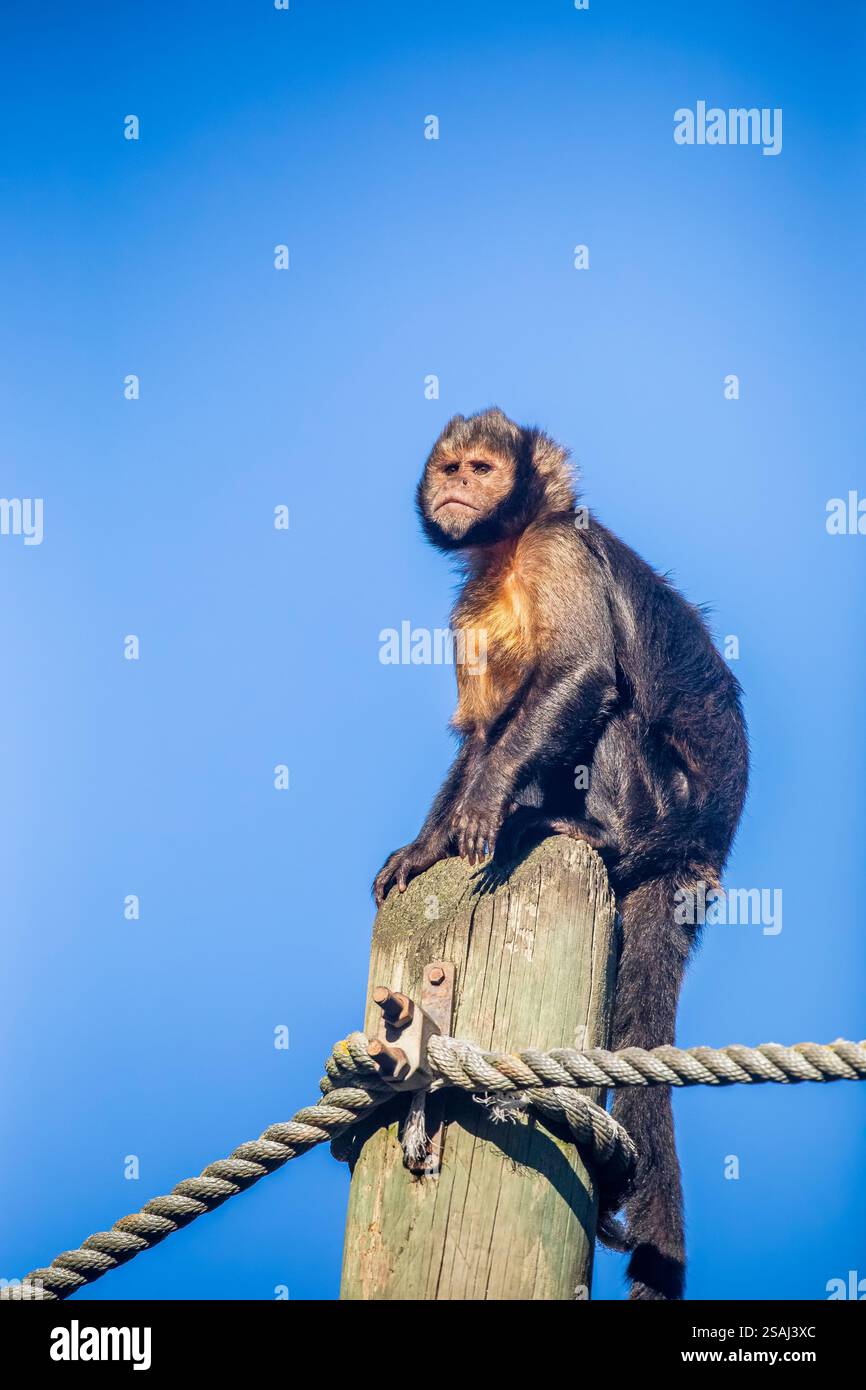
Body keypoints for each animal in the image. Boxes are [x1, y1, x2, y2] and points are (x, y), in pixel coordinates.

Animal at [373, 407, 749, 1301]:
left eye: (480, 468)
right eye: (450, 468)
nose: (455, 488)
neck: (510, 543)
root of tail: (701, 852)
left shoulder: (557, 550)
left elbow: (578, 671)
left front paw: (483, 810)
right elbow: (484, 729)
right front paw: (430, 843)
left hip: (661, 810)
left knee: (608, 711)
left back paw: (582, 833)